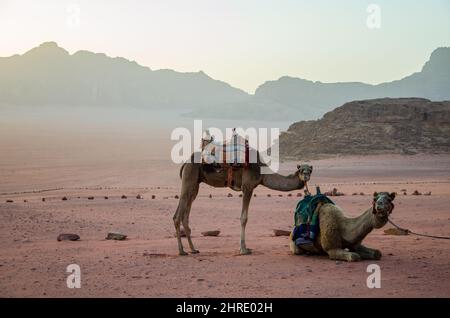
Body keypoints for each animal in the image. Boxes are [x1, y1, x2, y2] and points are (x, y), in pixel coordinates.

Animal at [173, 152, 312, 256]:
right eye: (301, 170)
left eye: (310, 170)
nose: (306, 176)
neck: (262, 172)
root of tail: (185, 163)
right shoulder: (247, 187)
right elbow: (244, 218)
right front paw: (244, 249)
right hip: (189, 177)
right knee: (177, 215)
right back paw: (181, 251)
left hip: (195, 184)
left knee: (185, 214)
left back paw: (193, 249)